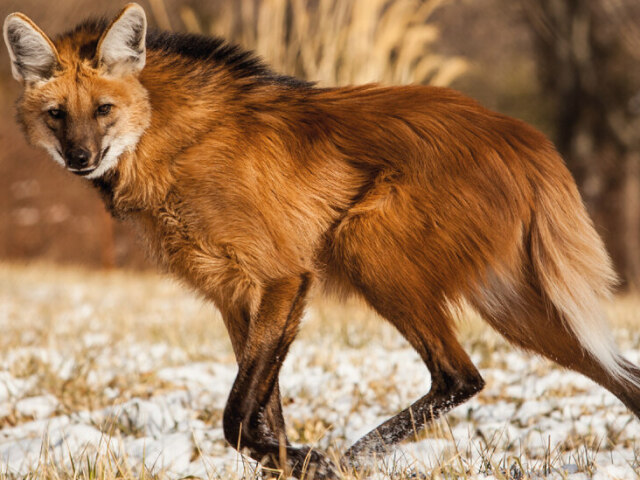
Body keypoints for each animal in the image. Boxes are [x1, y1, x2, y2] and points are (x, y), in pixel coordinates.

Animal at [5, 2, 640, 476]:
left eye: (103, 109)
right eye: (58, 113)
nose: (80, 158)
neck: (167, 139)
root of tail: (523, 135)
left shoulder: (284, 275)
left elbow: (238, 416)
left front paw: (315, 461)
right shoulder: (235, 296)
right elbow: (263, 416)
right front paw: (292, 461)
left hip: (368, 247)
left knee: (460, 375)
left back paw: (355, 454)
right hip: (517, 308)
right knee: (625, 377)